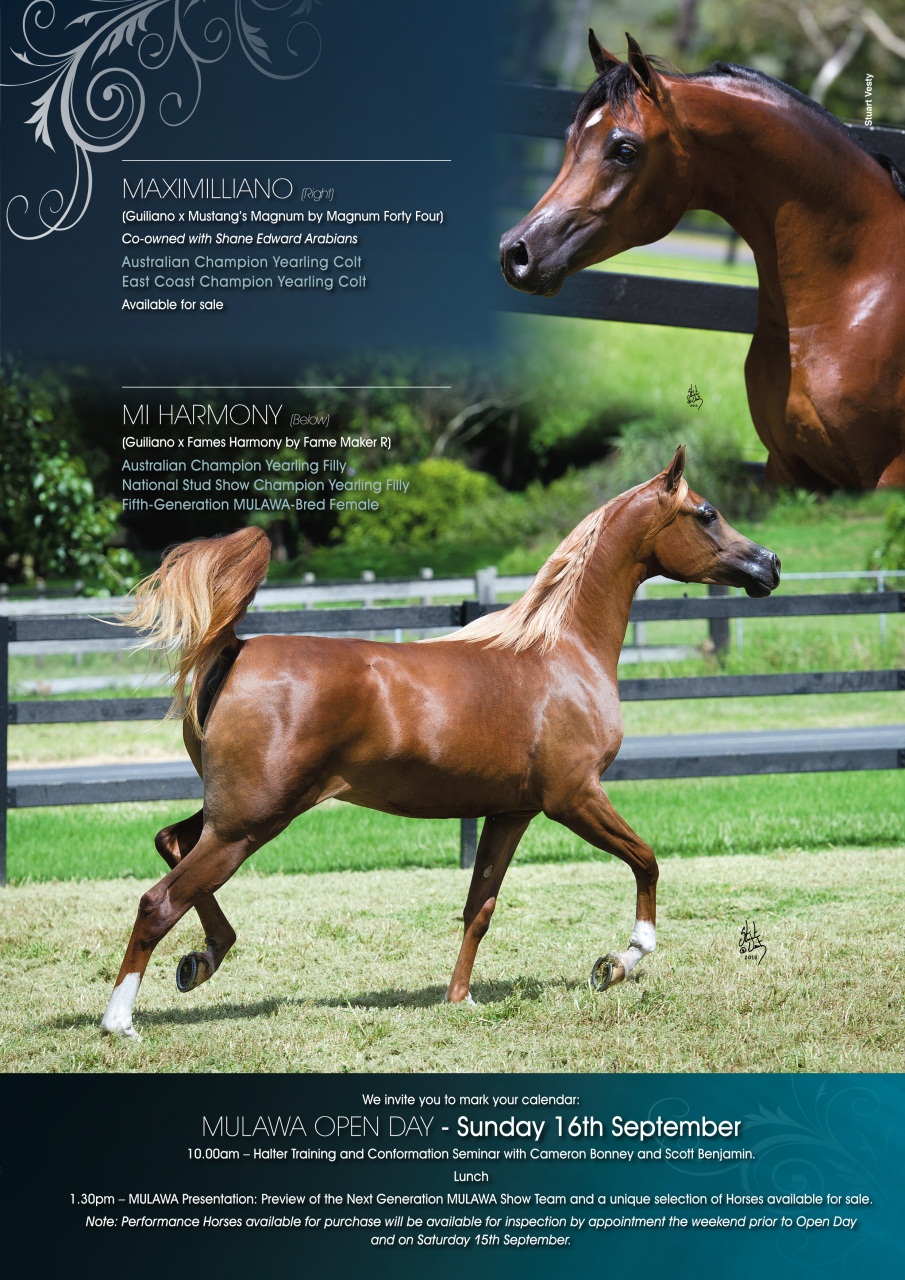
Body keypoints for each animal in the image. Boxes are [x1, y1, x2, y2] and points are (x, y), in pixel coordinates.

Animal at [100, 447, 780, 1038]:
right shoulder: (574, 797)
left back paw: (201, 960)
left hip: (236, 813)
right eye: (707, 512)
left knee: (171, 846)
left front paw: (461, 998)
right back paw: (121, 1021)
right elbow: (647, 861)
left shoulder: (511, 812)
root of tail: (234, 649)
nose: (769, 564)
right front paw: (618, 962)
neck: (559, 652)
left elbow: (480, 906)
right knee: (159, 900)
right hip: (250, 821)